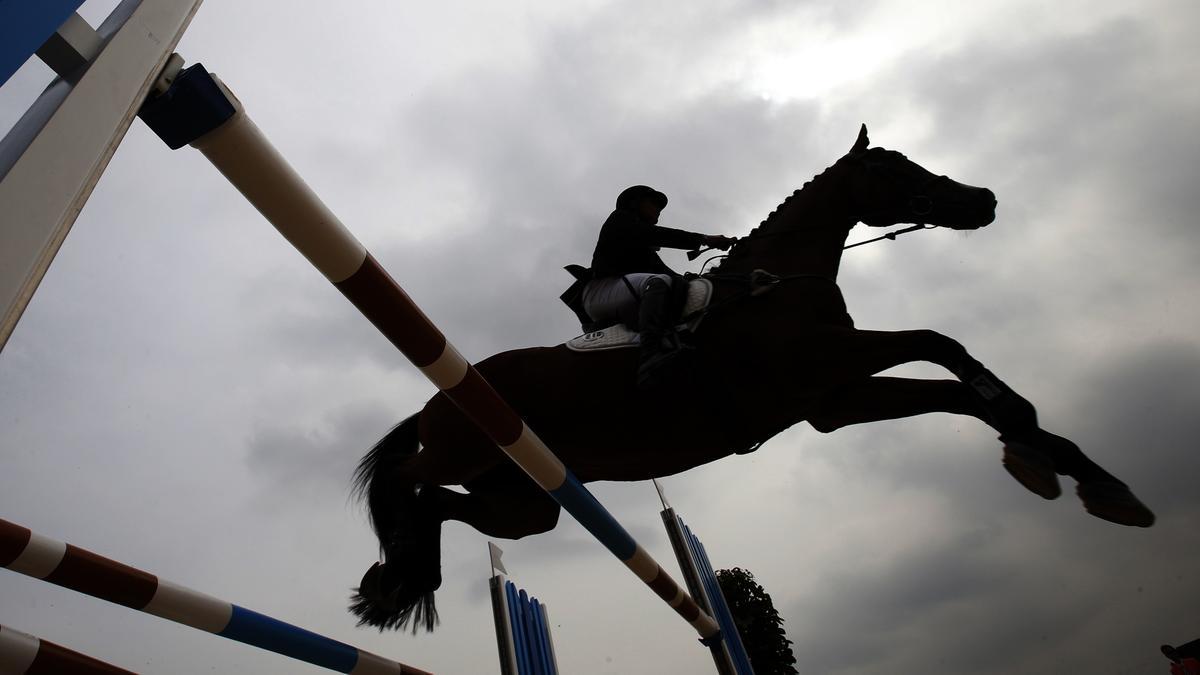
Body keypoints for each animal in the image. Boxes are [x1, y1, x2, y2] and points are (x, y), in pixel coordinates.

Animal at [348, 124, 1152, 629]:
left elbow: (957, 382)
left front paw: (1075, 469)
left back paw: (406, 575)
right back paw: (395, 571)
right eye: (891, 169)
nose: (983, 200)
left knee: (444, 506)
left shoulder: (835, 397)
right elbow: (939, 342)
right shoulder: (828, 366)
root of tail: (434, 400)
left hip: (524, 498)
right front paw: (1044, 451)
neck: (779, 283)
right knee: (407, 479)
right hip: (464, 450)